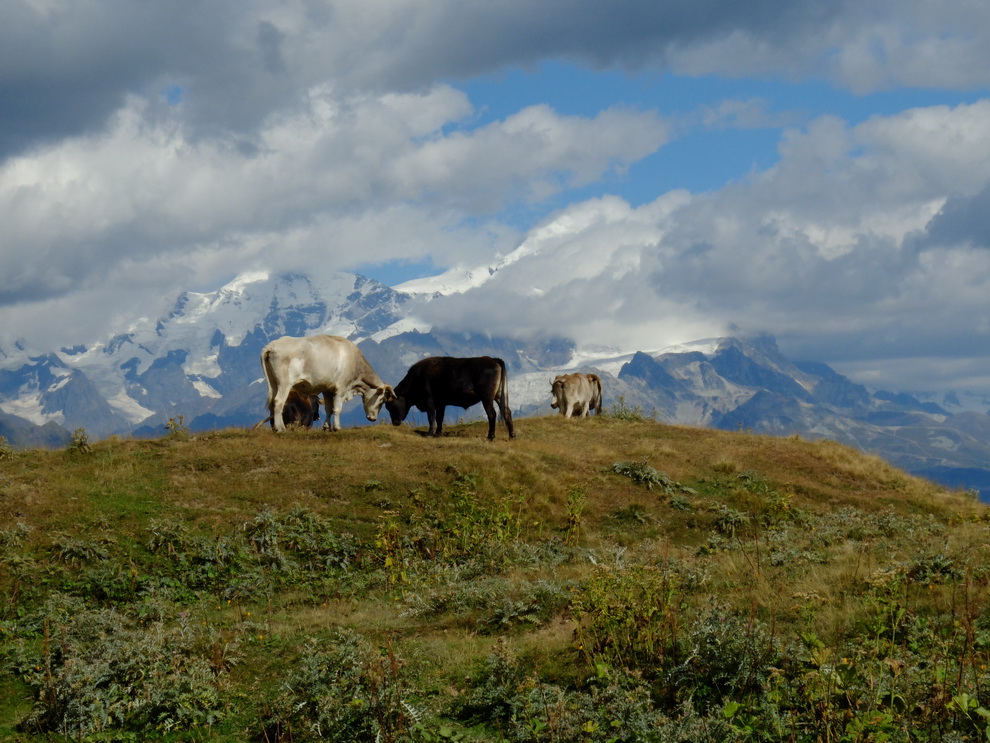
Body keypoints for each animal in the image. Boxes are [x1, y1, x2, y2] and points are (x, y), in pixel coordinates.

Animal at [262, 336, 394, 434]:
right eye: (382, 400)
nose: (373, 418)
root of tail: (272, 346)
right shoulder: (341, 387)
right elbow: (337, 408)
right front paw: (337, 427)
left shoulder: (327, 389)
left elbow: (328, 408)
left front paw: (326, 427)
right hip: (285, 383)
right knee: (279, 402)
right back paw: (281, 428)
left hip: (273, 383)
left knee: (272, 402)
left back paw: (274, 427)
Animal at [384, 356, 516, 438]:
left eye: (391, 404)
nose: (395, 422)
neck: (416, 378)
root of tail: (492, 359)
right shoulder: (441, 403)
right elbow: (439, 418)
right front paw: (438, 433)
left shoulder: (429, 400)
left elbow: (431, 417)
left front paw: (430, 433)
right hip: (498, 395)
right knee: (506, 411)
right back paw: (512, 435)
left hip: (487, 397)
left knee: (492, 414)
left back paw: (490, 436)